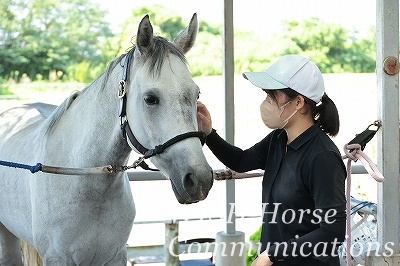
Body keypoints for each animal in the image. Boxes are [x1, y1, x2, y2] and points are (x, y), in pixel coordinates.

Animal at [0, 15, 214, 266]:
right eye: (150, 98)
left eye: (196, 94)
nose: (199, 180)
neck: (88, 182)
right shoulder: (58, 258)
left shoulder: (115, 255)